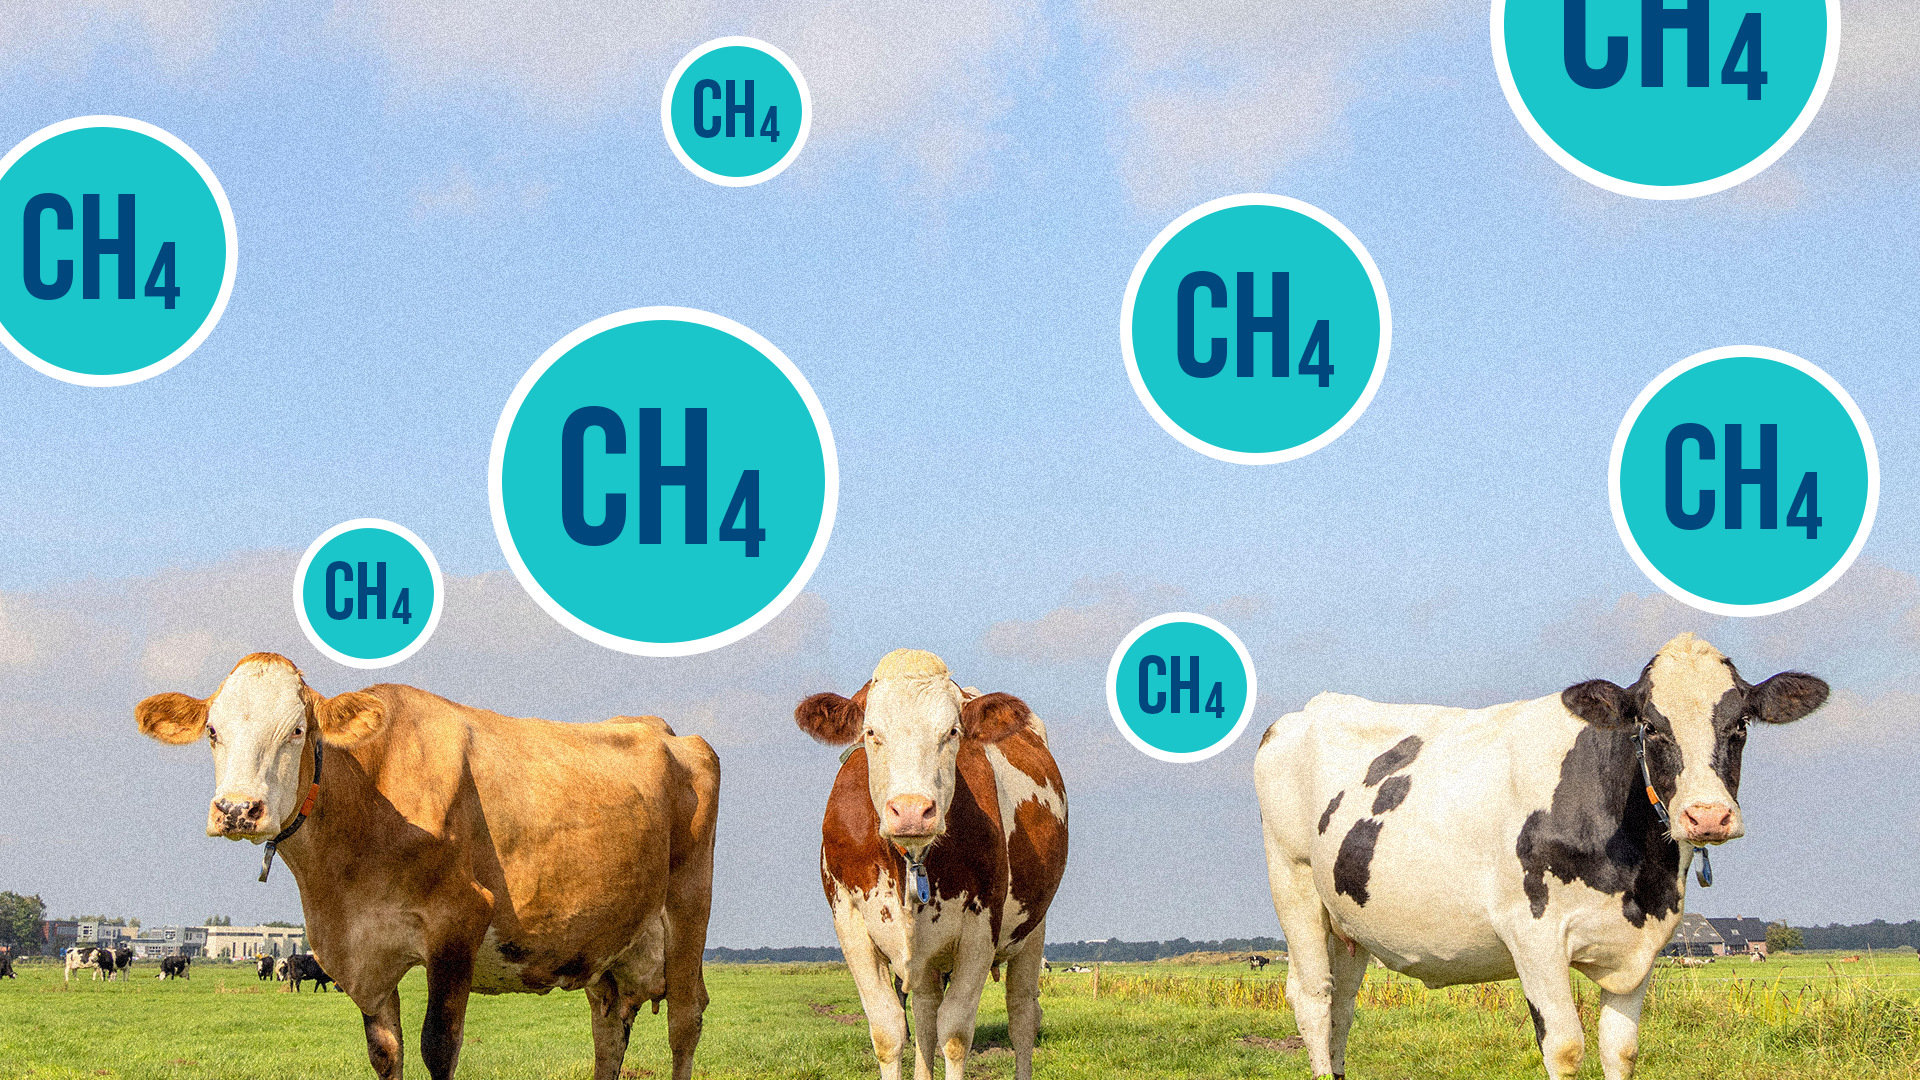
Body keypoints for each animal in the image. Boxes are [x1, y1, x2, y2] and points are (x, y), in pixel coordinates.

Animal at [137, 645, 721, 1076]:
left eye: (297, 730)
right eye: (213, 731)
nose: (237, 810)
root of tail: (669, 731)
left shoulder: (458, 923)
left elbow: (438, 1047)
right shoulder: (364, 954)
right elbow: (385, 1051)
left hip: (688, 915)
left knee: (685, 1023)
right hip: (606, 940)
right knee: (608, 1029)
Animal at [791, 645, 1067, 1076]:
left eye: (952, 732)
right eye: (871, 733)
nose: (910, 810)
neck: (910, 860)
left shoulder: (982, 926)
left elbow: (954, 1034)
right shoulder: (849, 920)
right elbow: (889, 1031)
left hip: (1032, 930)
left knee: (1022, 1016)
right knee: (924, 1014)